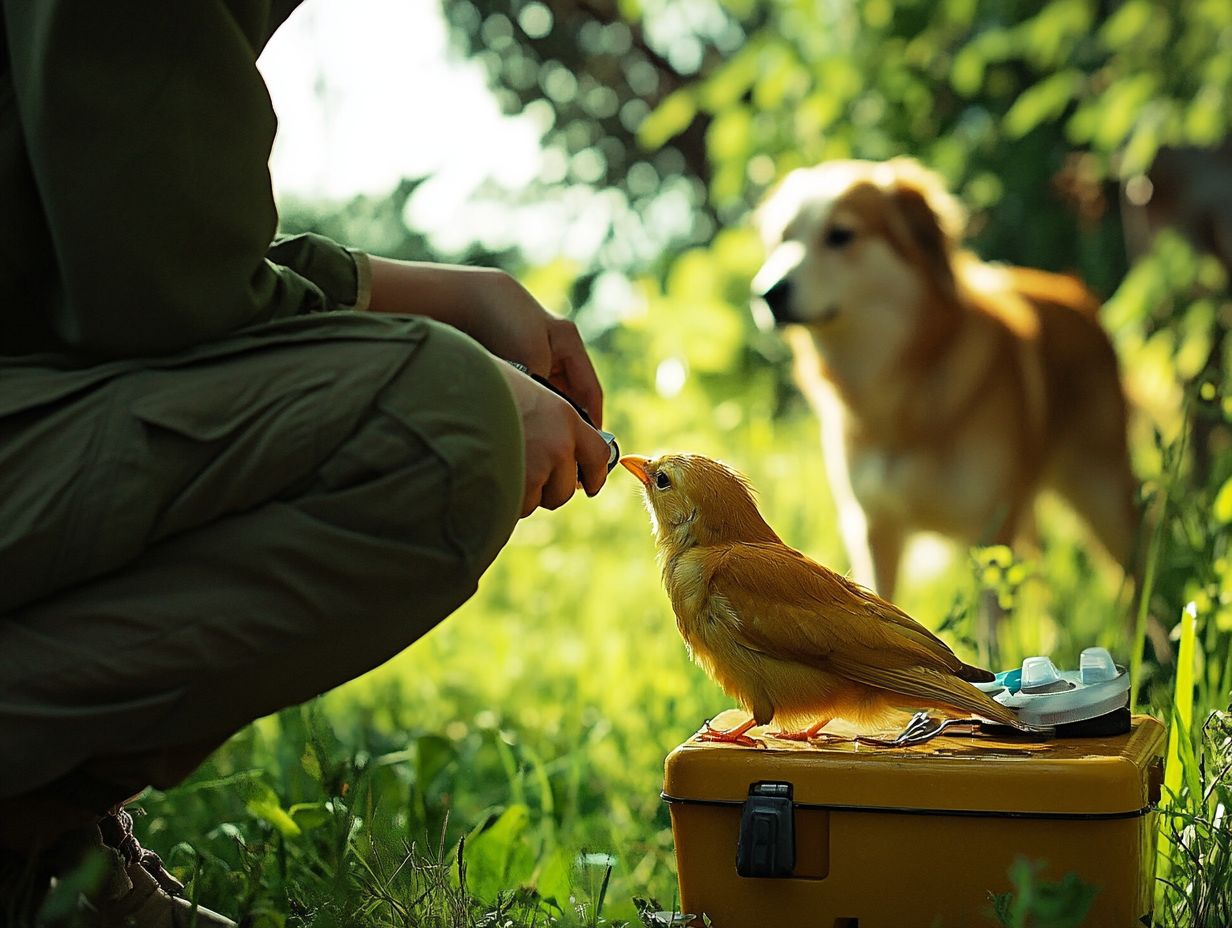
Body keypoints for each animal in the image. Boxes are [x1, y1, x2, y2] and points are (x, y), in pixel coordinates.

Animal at [753, 158, 1138, 601]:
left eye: (840, 235)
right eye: (782, 240)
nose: (767, 294)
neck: (903, 388)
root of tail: (1077, 294)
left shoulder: (991, 533)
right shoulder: (873, 528)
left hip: (1103, 495)